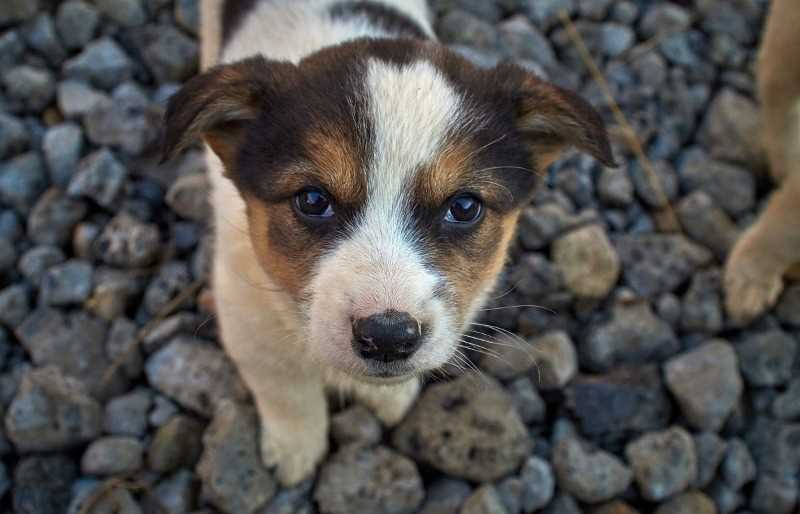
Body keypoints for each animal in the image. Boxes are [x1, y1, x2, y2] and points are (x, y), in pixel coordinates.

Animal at [162, 0, 612, 484]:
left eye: (464, 206)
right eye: (312, 199)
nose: (388, 338)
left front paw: (389, 399)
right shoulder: (245, 309)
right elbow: (284, 387)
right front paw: (295, 450)